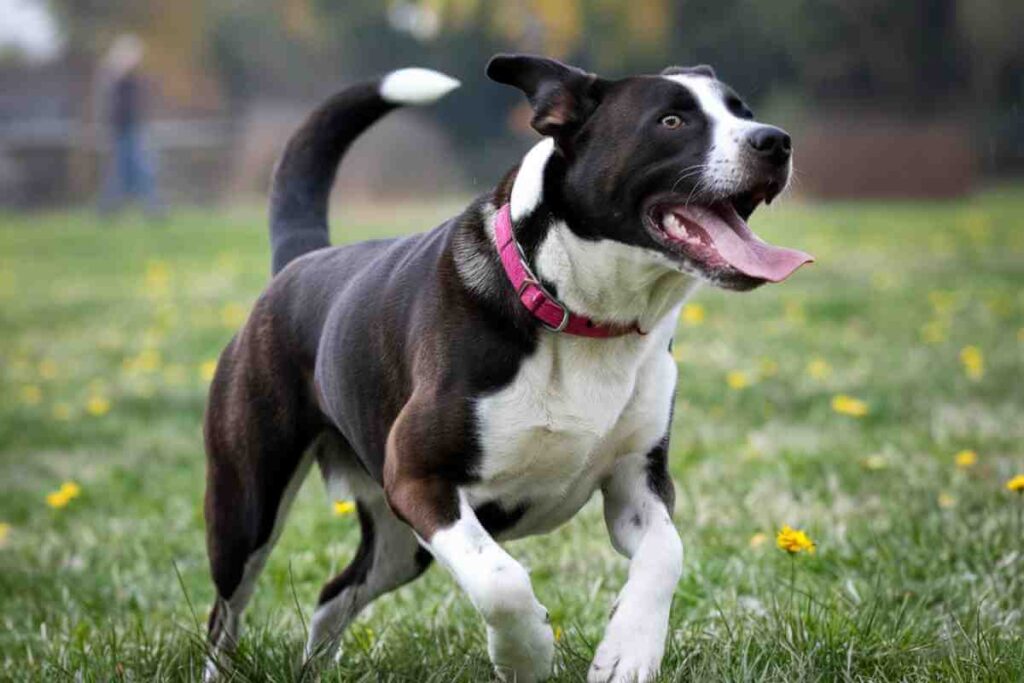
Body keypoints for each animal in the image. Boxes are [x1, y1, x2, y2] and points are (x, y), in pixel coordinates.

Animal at [203, 54, 811, 683]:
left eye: (742, 110)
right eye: (671, 120)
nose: (775, 140)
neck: (580, 315)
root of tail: (301, 261)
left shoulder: (637, 480)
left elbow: (666, 555)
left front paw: (628, 651)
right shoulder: (418, 477)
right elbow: (501, 582)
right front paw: (528, 654)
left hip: (399, 547)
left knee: (334, 593)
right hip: (248, 506)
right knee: (226, 611)